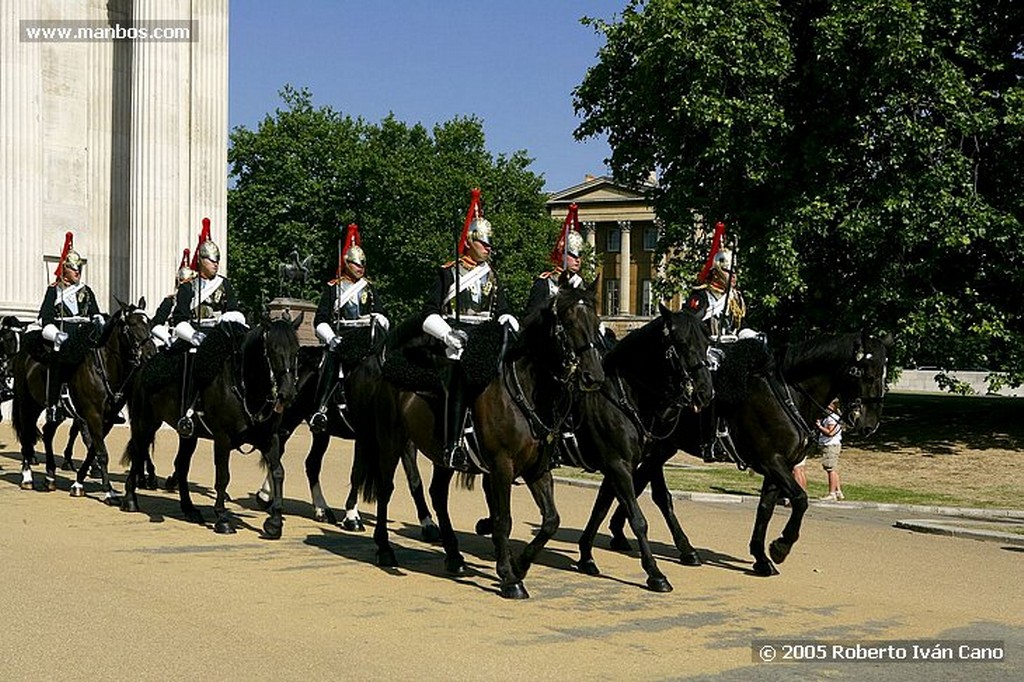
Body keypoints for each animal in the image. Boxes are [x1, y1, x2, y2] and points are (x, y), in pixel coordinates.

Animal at [11, 299, 150, 499]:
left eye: (149, 322)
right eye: (132, 325)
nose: (152, 353)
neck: (104, 368)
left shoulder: (107, 418)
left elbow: (93, 450)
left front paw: (79, 482)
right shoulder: (92, 415)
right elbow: (100, 451)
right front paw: (108, 491)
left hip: (53, 410)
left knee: (47, 432)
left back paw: (50, 476)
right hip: (27, 403)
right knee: (26, 434)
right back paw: (27, 476)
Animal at [120, 313, 301, 536]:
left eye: (297, 349)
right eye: (273, 349)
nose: (288, 393)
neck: (244, 386)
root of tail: (143, 366)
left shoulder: (269, 438)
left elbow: (278, 472)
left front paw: (275, 522)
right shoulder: (223, 439)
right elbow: (223, 477)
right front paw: (222, 518)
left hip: (187, 435)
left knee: (181, 465)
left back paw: (189, 508)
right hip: (145, 423)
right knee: (138, 453)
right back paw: (130, 499)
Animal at [356, 276, 602, 593]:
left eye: (597, 320)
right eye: (569, 321)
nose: (594, 376)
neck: (524, 392)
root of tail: (389, 361)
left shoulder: (537, 468)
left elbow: (550, 521)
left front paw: (520, 565)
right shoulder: (502, 466)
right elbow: (503, 519)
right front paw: (509, 577)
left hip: (443, 456)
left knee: (438, 494)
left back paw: (453, 555)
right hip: (391, 441)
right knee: (387, 489)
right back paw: (386, 549)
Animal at [569, 305, 712, 593]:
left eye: (707, 342)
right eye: (681, 343)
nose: (706, 392)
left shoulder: (632, 462)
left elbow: (604, 507)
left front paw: (586, 555)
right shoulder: (618, 465)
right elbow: (638, 518)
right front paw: (655, 573)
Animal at [606, 329, 888, 573]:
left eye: (884, 375)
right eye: (863, 372)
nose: (869, 424)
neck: (787, 393)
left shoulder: (780, 465)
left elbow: (765, 509)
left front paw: (761, 557)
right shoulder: (772, 461)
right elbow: (800, 499)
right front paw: (781, 546)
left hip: (664, 446)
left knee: (641, 484)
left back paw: (626, 533)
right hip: (657, 447)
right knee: (654, 493)